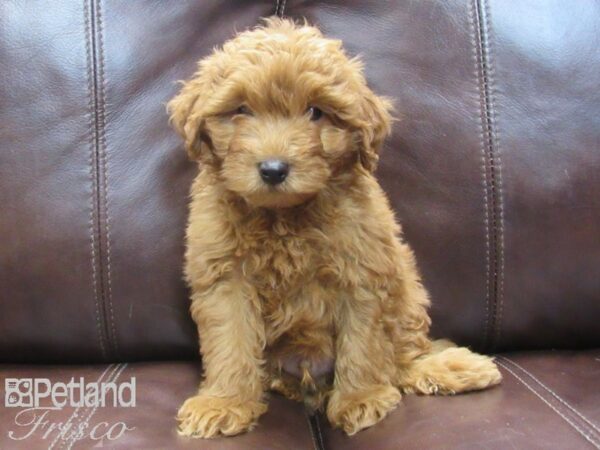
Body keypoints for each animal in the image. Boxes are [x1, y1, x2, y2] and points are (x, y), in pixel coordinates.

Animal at [169, 18, 502, 440]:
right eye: (241, 110)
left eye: (316, 112)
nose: (273, 169)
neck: (283, 218)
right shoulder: (225, 277)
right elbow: (231, 341)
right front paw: (224, 402)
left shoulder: (363, 270)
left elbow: (363, 344)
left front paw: (361, 399)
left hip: (407, 290)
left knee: (403, 357)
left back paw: (450, 367)